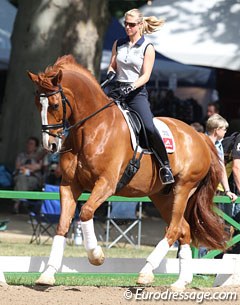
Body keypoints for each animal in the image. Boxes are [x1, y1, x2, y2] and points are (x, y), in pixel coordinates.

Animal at [28, 53, 227, 288]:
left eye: (55, 105)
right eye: (37, 104)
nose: (49, 145)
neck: (92, 128)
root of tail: (200, 137)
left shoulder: (107, 183)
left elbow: (86, 212)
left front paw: (96, 256)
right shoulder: (69, 185)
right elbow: (62, 225)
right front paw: (48, 274)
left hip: (183, 188)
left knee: (173, 230)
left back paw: (146, 273)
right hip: (162, 196)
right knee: (183, 229)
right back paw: (180, 282)